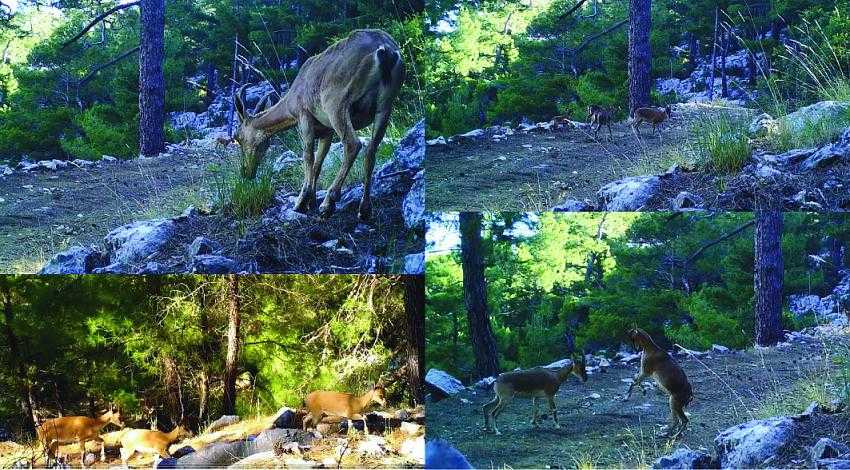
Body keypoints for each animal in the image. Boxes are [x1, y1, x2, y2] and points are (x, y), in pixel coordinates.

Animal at [232, 29, 404, 220]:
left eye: (237, 137)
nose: (245, 172)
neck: (290, 103)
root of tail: (386, 51)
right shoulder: (325, 130)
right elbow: (319, 162)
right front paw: (311, 201)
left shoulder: (304, 115)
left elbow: (308, 156)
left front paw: (301, 202)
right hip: (385, 105)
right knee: (371, 150)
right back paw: (364, 209)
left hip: (336, 103)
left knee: (353, 144)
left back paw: (329, 203)